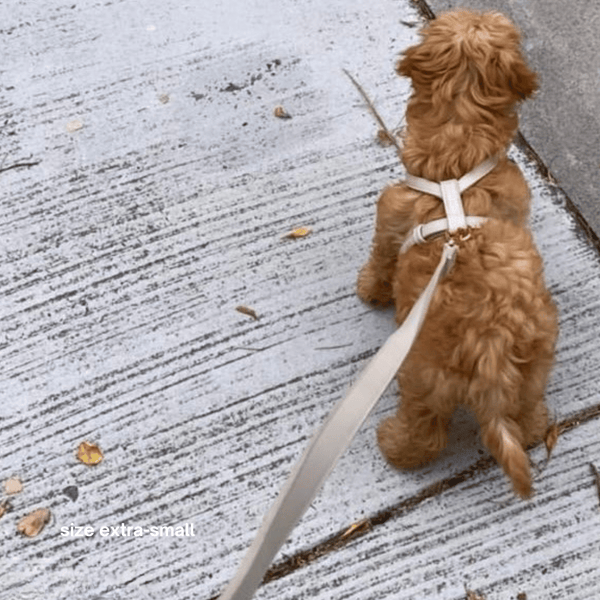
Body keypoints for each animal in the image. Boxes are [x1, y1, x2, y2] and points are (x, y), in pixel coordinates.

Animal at [356, 10, 556, 496]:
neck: (459, 154)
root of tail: (491, 346)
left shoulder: (391, 214)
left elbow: (382, 257)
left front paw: (370, 290)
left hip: (423, 377)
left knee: (426, 433)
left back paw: (393, 446)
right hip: (533, 366)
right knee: (526, 413)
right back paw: (535, 428)